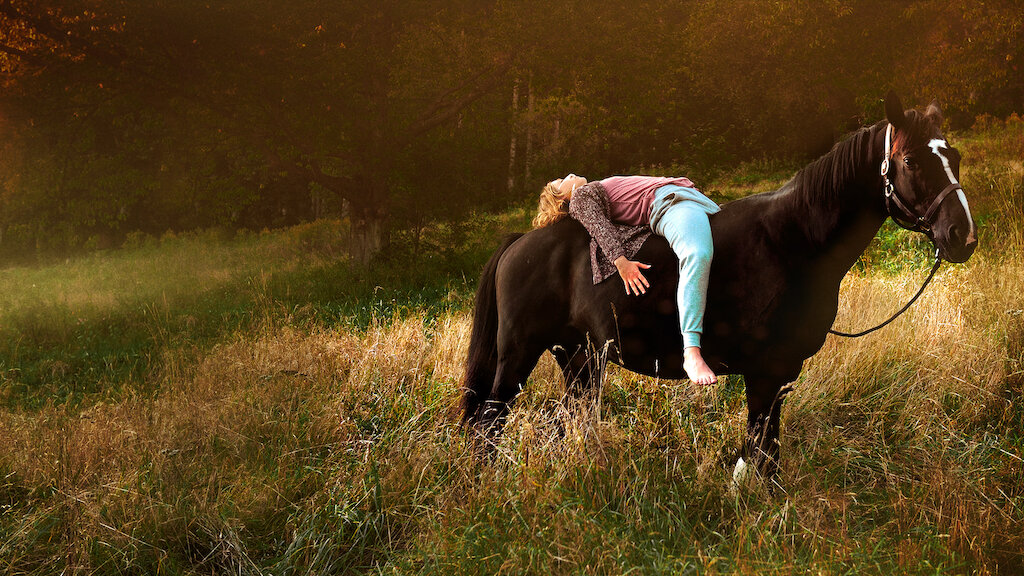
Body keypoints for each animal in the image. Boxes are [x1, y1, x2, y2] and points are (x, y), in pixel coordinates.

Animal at [462, 94, 974, 477]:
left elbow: (764, 454)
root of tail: (519, 242)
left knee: (570, 419)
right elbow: (763, 455)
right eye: (910, 160)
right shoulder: (766, 374)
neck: (792, 241)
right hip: (519, 355)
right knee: (489, 422)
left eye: (954, 156)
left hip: (580, 358)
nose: (961, 236)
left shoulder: (779, 378)